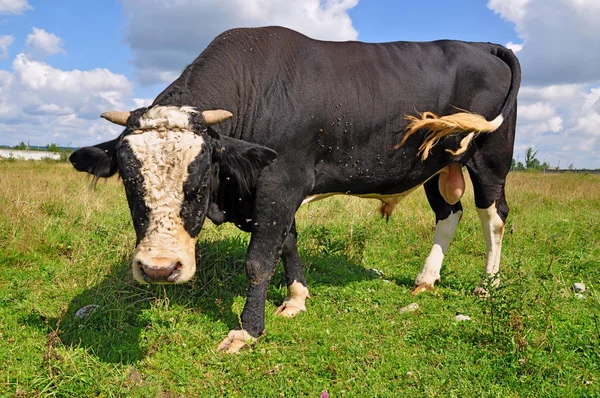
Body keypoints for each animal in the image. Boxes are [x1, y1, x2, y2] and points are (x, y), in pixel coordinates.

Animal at [69, 26, 520, 352]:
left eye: (198, 182)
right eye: (130, 182)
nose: (159, 269)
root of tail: (480, 44)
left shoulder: (280, 182)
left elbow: (258, 259)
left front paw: (248, 331)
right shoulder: (274, 191)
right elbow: (286, 243)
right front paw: (297, 299)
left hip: (489, 159)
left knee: (493, 216)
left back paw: (489, 285)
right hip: (437, 163)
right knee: (449, 214)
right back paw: (426, 279)